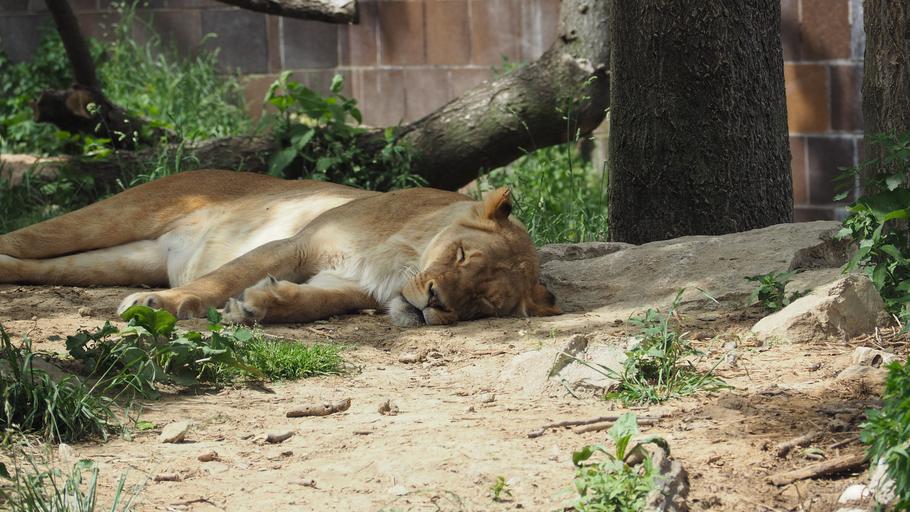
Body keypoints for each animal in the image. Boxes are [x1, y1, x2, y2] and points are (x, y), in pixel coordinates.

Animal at [0, 170, 561, 326]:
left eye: (481, 302)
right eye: (462, 255)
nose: (436, 303)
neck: (402, 259)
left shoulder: (349, 284)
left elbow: (317, 302)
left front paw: (260, 306)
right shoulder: (297, 243)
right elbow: (223, 277)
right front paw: (163, 305)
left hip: (123, 259)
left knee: (30, 266)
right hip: (112, 216)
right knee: (20, 238)